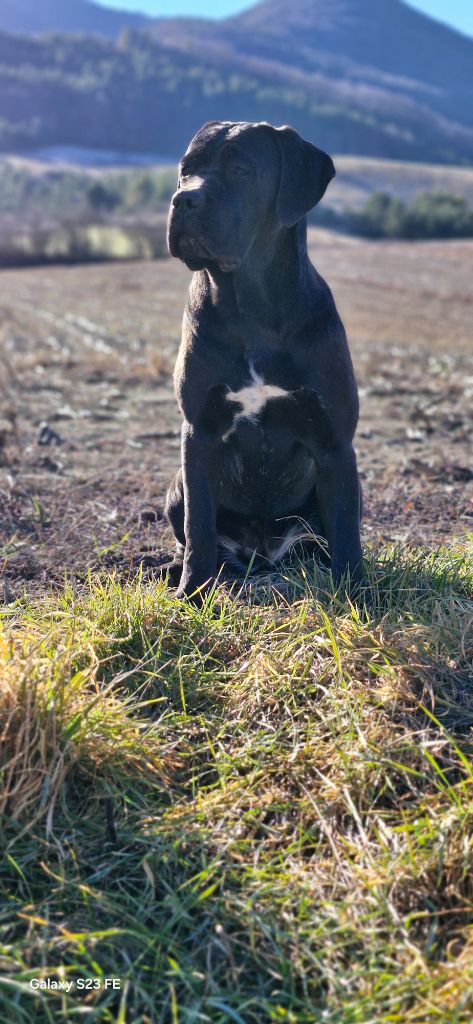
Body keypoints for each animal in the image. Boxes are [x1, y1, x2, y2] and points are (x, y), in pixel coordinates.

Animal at [161, 119, 362, 598]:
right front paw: (191, 594)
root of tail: (262, 554)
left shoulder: (335, 441)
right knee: (194, 532)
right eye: (185, 170)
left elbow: (347, 531)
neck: (252, 308)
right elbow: (199, 528)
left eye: (241, 171)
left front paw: (358, 595)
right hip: (176, 485)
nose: (183, 199)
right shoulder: (199, 431)